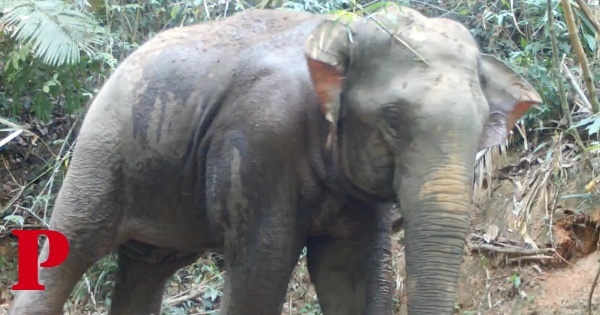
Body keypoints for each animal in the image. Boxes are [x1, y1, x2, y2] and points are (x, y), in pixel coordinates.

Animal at [8, 4, 544, 315]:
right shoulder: (258, 140)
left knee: (147, 264)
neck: (340, 35)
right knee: (74, 244)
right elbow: (263, 266)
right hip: (102, 147)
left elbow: (349, 273)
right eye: (393, 119)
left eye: (484, 124)